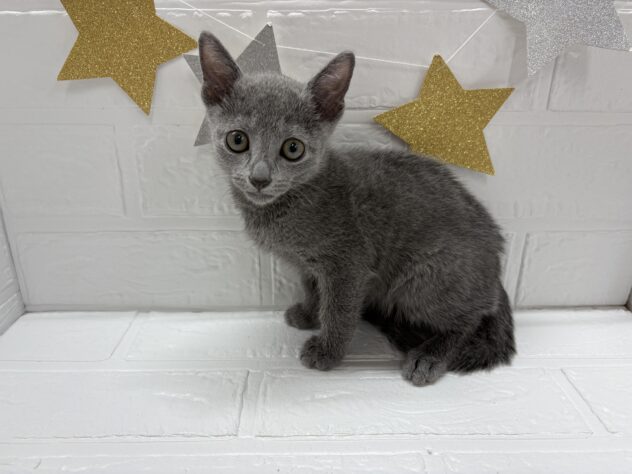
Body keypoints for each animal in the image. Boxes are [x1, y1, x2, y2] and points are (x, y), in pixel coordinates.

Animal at [197, 32, 515, 386]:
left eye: (293, 148)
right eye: (237, 140)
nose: (259, 178)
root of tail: (496, 269)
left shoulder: (348, 265)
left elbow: (339, 310)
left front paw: (328, 351)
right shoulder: (310, 264)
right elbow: (313, 288)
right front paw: (308, 313)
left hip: (425, 278)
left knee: (470, 318)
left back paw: (430, 355)